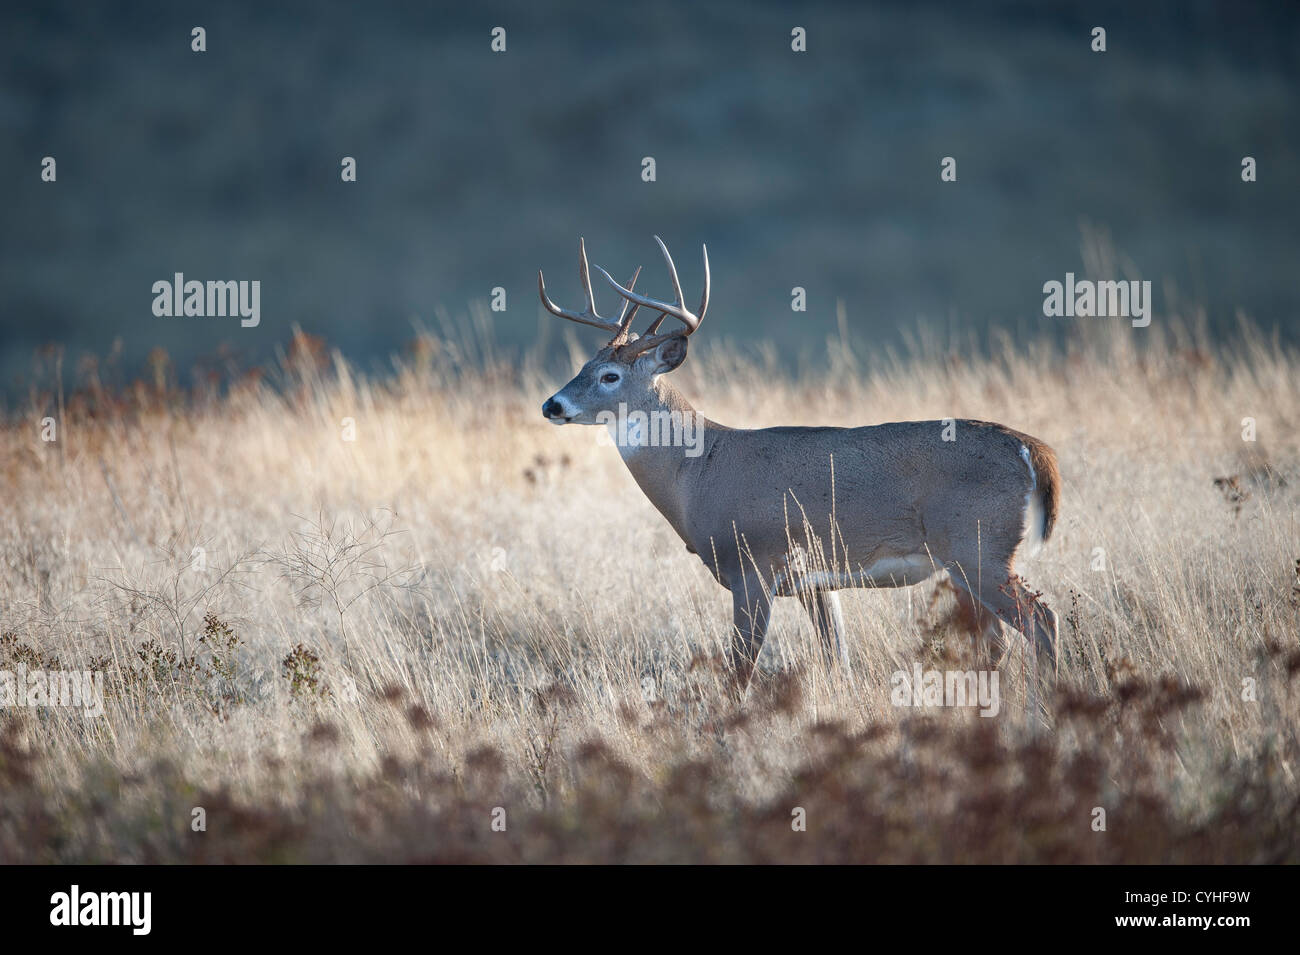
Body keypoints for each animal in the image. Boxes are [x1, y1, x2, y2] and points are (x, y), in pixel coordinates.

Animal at [533, 236, 1060, 712]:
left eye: (610, 377)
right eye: (584, 364)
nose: (551, 405)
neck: (697, 472)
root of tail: (1033, 451)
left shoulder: (753, 567)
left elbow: (739, 671)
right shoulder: (815, 582)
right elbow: (837, 658)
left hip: (979, 547)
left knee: (1042, 619)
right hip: (970, 561)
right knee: (998, 639)